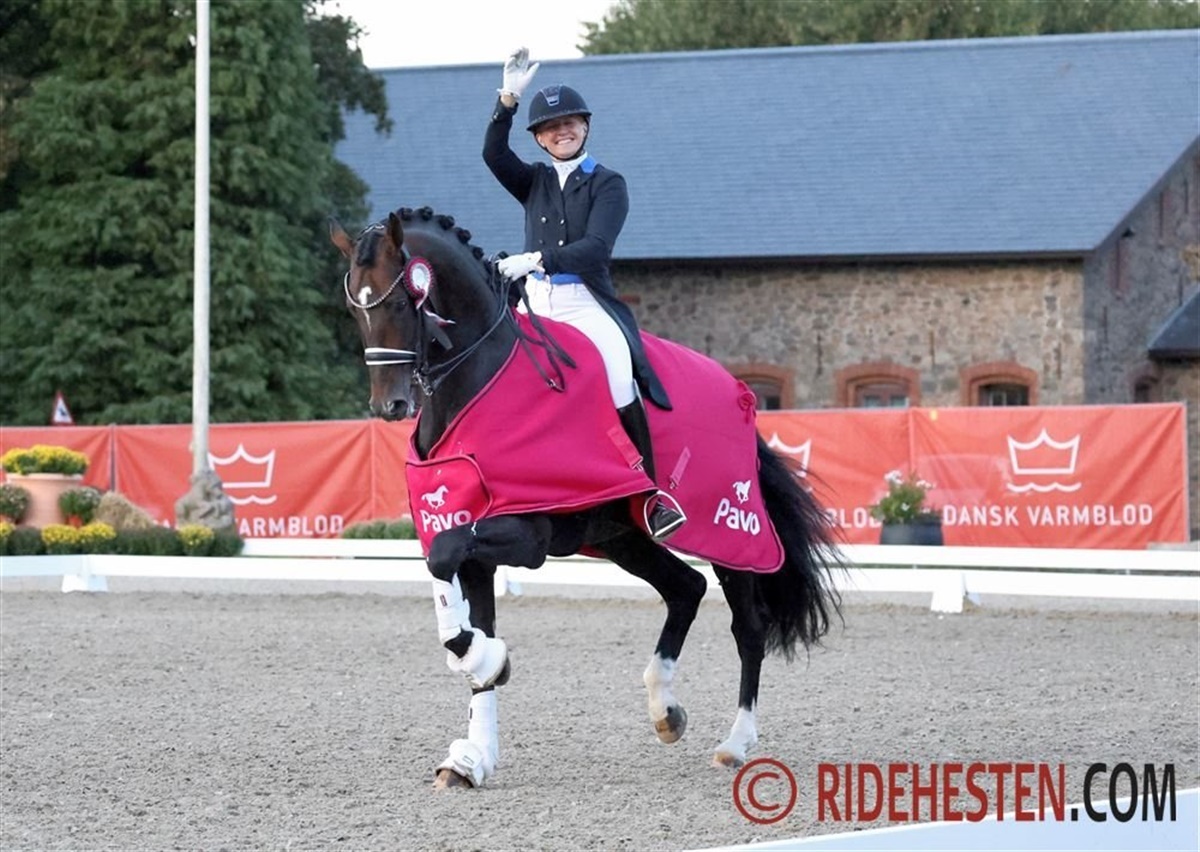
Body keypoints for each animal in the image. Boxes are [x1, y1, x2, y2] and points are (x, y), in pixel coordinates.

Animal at [330, 206, 843, 789]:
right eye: (354, 308)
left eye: (398, 301)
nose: (389, 405)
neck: (479, 387)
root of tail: (740, 392)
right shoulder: (468, 534)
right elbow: (459, 596)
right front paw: (472, 749)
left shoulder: (524, 534)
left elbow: (446, 565)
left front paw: (484, 663)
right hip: (623, 536)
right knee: (685, 588)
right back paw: (665, 710)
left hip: (728, 534)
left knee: (747, 626)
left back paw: (735, 743)